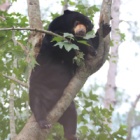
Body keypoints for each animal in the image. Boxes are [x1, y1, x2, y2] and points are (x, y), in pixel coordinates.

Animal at [29, 9, 111, 140]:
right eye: (77, 22)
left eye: (86, 25)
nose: (81, 31)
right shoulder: (55, 38)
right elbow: (68, 41)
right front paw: (90, 48)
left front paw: (105, 29)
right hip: (37, 88)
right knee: (36, 105)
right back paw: (43, 122)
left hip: (67, 105)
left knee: (71, 115)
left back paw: (71, 135)